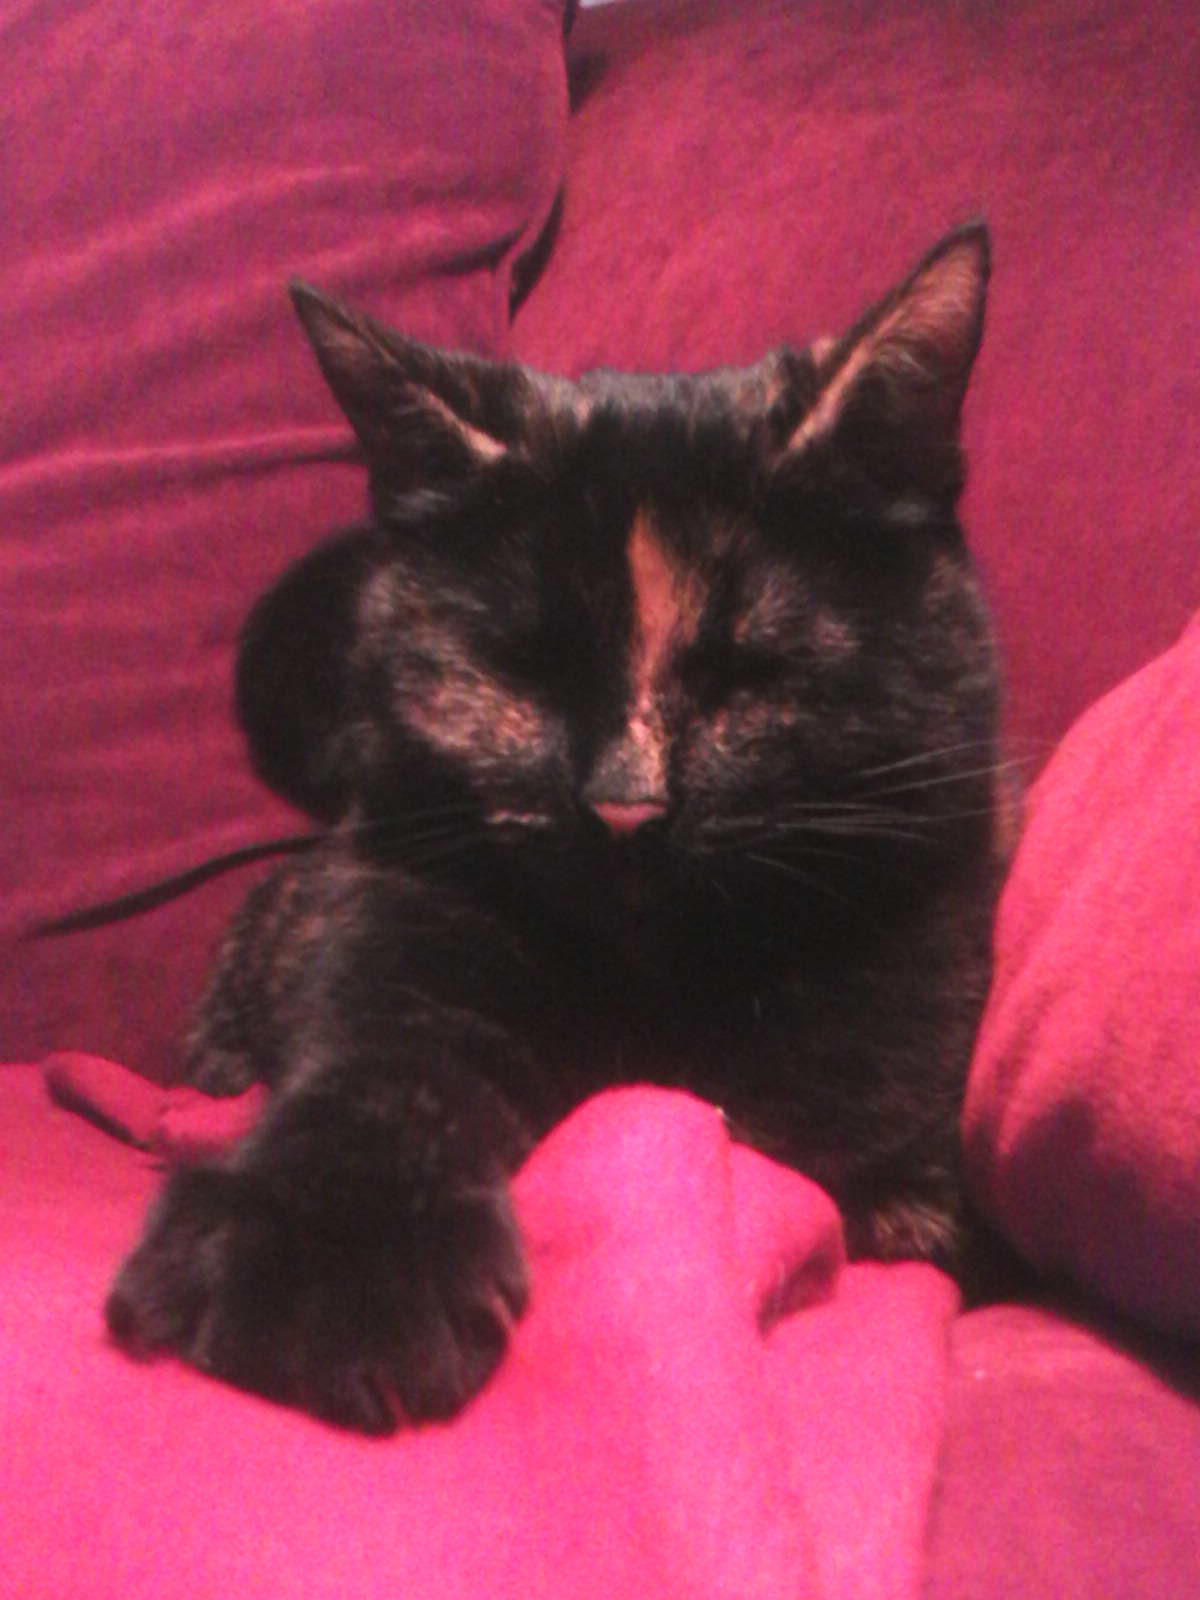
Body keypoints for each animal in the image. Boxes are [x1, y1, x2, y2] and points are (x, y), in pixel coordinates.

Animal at [106, 224, 1004, 1434]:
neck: (652, 998)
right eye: (527, 669)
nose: (626, 802)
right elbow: (387, 1073)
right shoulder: (393, 912)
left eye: (747, 673)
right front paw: (332, 1259)